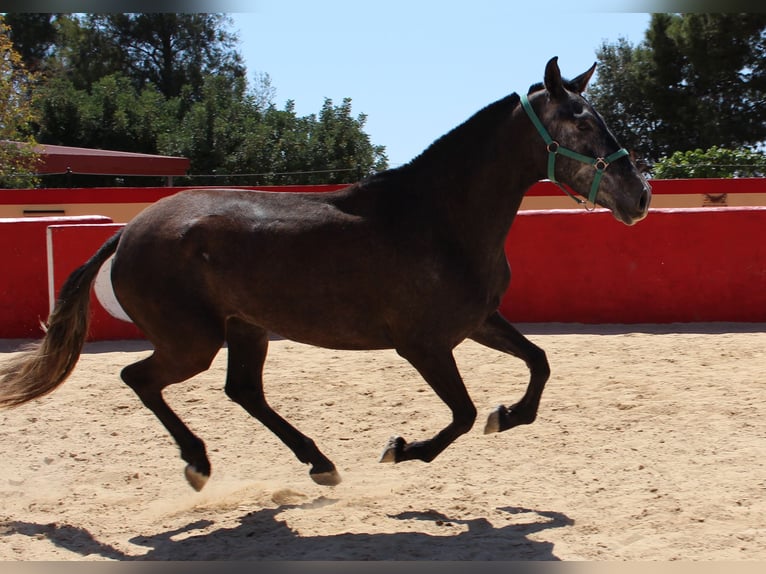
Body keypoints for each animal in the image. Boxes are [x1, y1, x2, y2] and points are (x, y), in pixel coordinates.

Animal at [0, 57, 656, 490]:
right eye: (580, 122)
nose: (640, 196)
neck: (439, 218)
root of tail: (128, 231)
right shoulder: (423, 344)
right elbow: (464, 415)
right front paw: (402, 449)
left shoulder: (477, 321)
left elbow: (538, 365)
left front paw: (508, 416)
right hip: (193, 341)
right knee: (139, 377)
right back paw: (199, 462)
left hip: (246, 329)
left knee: (243, 391)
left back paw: (319, 463)